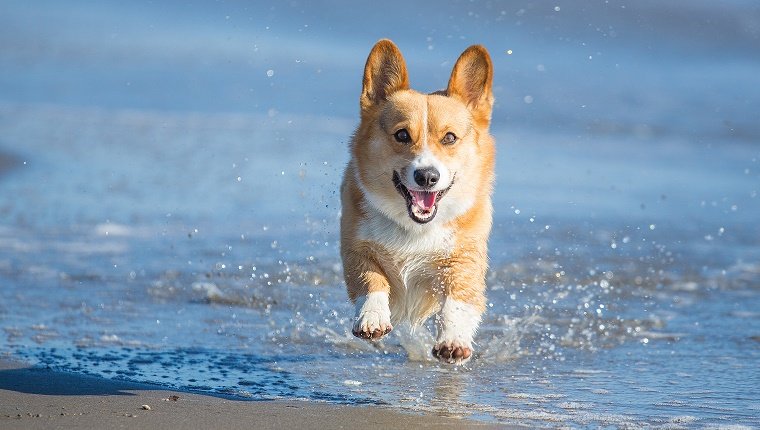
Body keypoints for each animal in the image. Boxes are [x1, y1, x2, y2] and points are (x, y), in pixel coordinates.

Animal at [342, 39, 496, 362]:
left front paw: (453, 341)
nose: (427, 176)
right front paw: (372, 317)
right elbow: (371, 280)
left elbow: (457, 302)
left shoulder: (465, 260)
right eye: (402, 135)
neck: (415, 228)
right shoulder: (355, 247)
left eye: (449, 138)